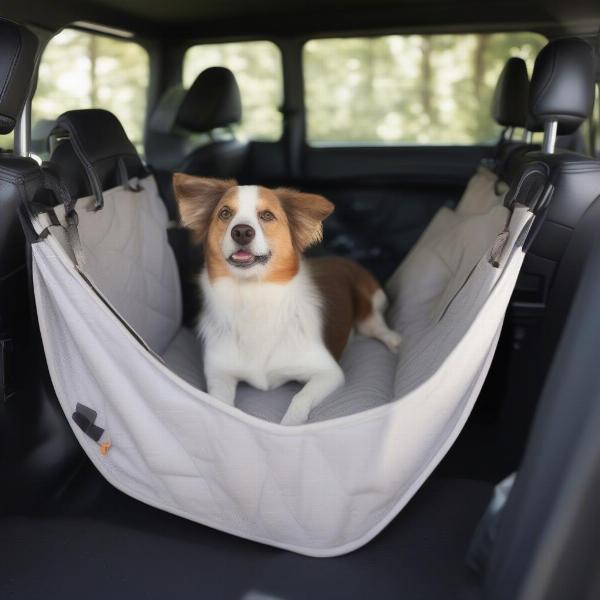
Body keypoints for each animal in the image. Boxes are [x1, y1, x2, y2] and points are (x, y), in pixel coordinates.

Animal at [171, 173, 400, 426]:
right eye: (225, 213)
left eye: (267, 215)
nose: (242, 232)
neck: (252, 296)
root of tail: (343, 260)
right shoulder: (219, 374)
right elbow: (221, 405)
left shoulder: (329, 373)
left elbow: (300, 398)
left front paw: (290, 423)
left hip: (368, 308)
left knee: (377, 325)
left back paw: (393, 340)